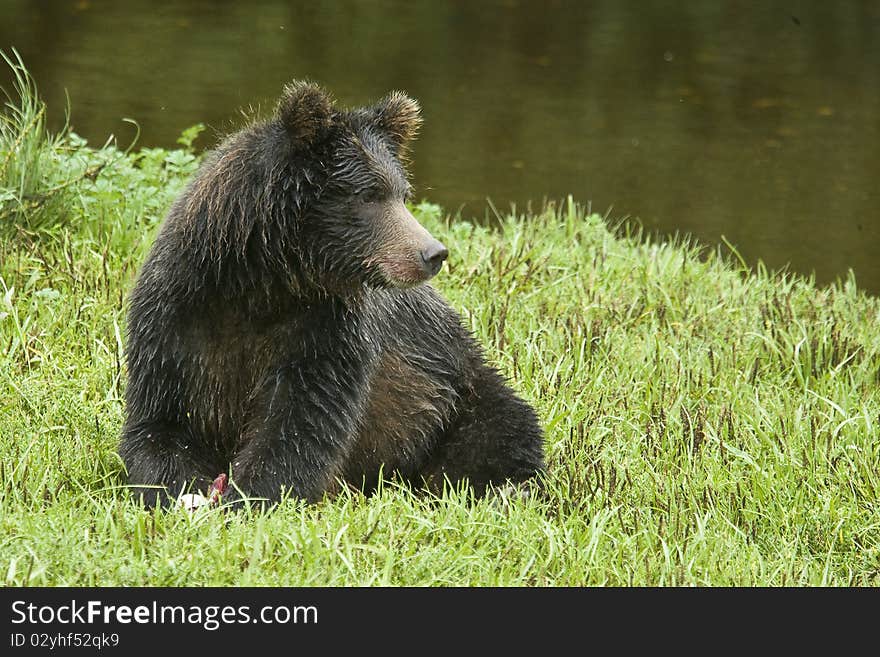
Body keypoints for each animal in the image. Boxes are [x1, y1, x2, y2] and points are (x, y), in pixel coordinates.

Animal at [117, 82, 544, 508]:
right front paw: (181, 488)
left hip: (454, 389)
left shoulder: (328, 329)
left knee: (500, 429)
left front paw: (250, 495)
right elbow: (160, 423)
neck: (265, 282)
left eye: (402, 194)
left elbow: (301, 425)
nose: (433, 253)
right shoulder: (180, 315)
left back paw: (507, 486)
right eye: (370, 195)